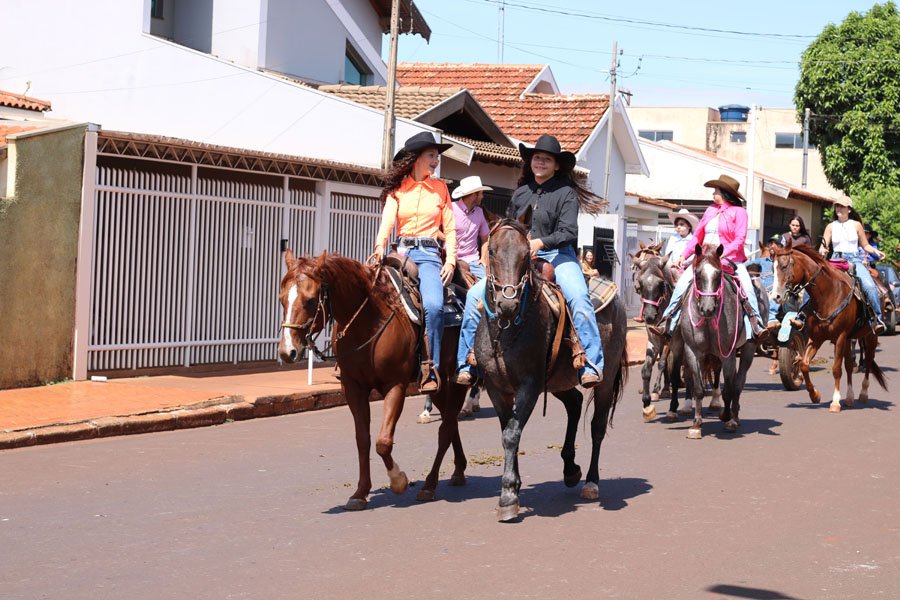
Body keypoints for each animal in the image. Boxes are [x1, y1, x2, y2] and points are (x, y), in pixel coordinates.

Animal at [278, 250, 468, 509]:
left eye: (309, 300)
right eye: (281, 299)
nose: (287, 352)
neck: (368, 322)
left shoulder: (395, 386)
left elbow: (383, 442)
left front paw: (398, 480)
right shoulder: (353, 387)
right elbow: (363, 440)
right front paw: (360, 493)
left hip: (456, 380)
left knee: (446, 428)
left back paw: (429, 485)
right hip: (437, 387)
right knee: (451, 422)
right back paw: (458, 470)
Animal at [474, 216, 629, 521]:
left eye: (525, 255)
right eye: (492, 252)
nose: (507, 303)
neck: (507, 330)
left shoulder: (530, 386)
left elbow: (512, 434)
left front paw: (508, 495)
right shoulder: (497, 389)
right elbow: (508, 431)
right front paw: (514, 488)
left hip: (604, 381)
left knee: (597, 426)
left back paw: (591, 482)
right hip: (558, 380)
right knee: (575, 403)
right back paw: (570, 469)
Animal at [672, 244, 759, 438]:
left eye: (718, 275)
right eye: (697, 274)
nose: (708, 308)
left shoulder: (727, 353)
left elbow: (728, 390)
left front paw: (727, 417)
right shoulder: (693, 352)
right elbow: (698, 388)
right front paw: (696, 424)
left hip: (748, 350)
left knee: (738, 382)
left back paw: (734, 418)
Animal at [770, 241, 887, 412]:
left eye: (784, 267)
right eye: (773, 268)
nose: (775, 297)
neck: (828, 295)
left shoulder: (840, 337)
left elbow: (836, 369)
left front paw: (835, 402)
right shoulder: (816, 338)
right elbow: (804, 364)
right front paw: (814, 395)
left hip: (870, 335)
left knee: (869, 361)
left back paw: (863, 394)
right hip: (849, 339)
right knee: (849, 365)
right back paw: (849, 397)